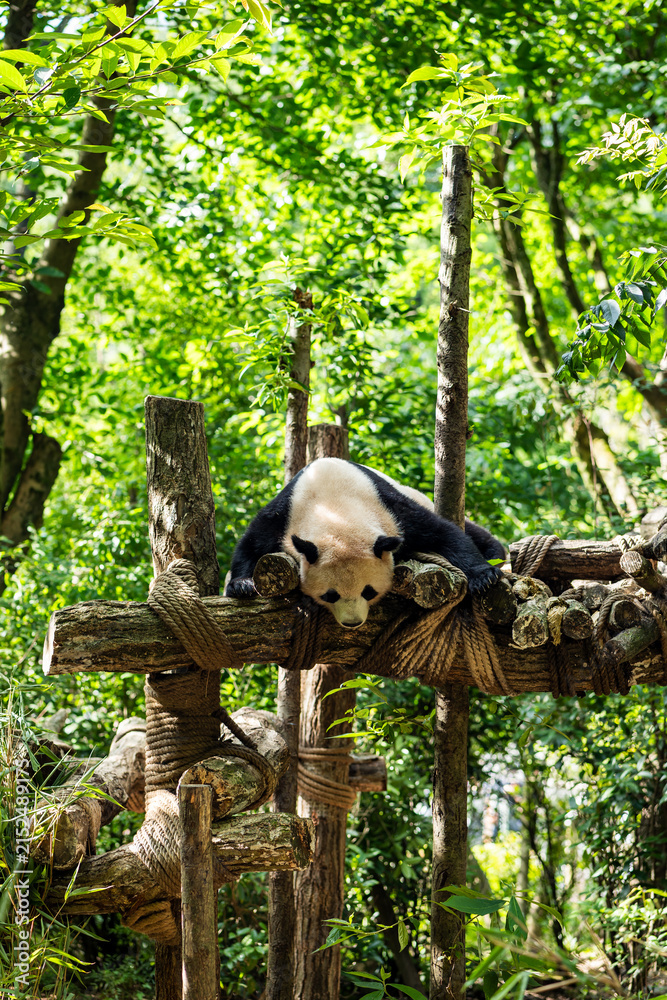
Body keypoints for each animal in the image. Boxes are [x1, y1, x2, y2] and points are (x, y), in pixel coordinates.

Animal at [224, 458, 505, 629]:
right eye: (330, 595)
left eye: (368, 591)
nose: (353, 623)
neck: (336, 509)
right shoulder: (286, 513)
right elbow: (252, 542)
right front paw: (242, 586)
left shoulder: (391, 509)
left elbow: (443, 533)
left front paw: (484, 576)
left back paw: (495, 553)